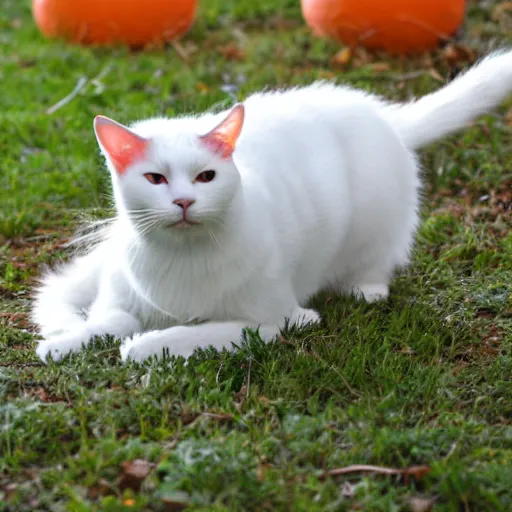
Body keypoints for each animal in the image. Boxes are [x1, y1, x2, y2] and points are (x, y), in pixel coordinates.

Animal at [33, 50, 512, 364]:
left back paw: (365, 289)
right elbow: (108, 322)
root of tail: (383, 114)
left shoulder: (275, 321)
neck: (182, 260)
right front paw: (63, 344)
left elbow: (187, 334)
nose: (184, 201)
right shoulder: (116, 303)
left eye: (206, 177)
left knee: (377, 267)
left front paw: (145, 347)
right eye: (155, 179)